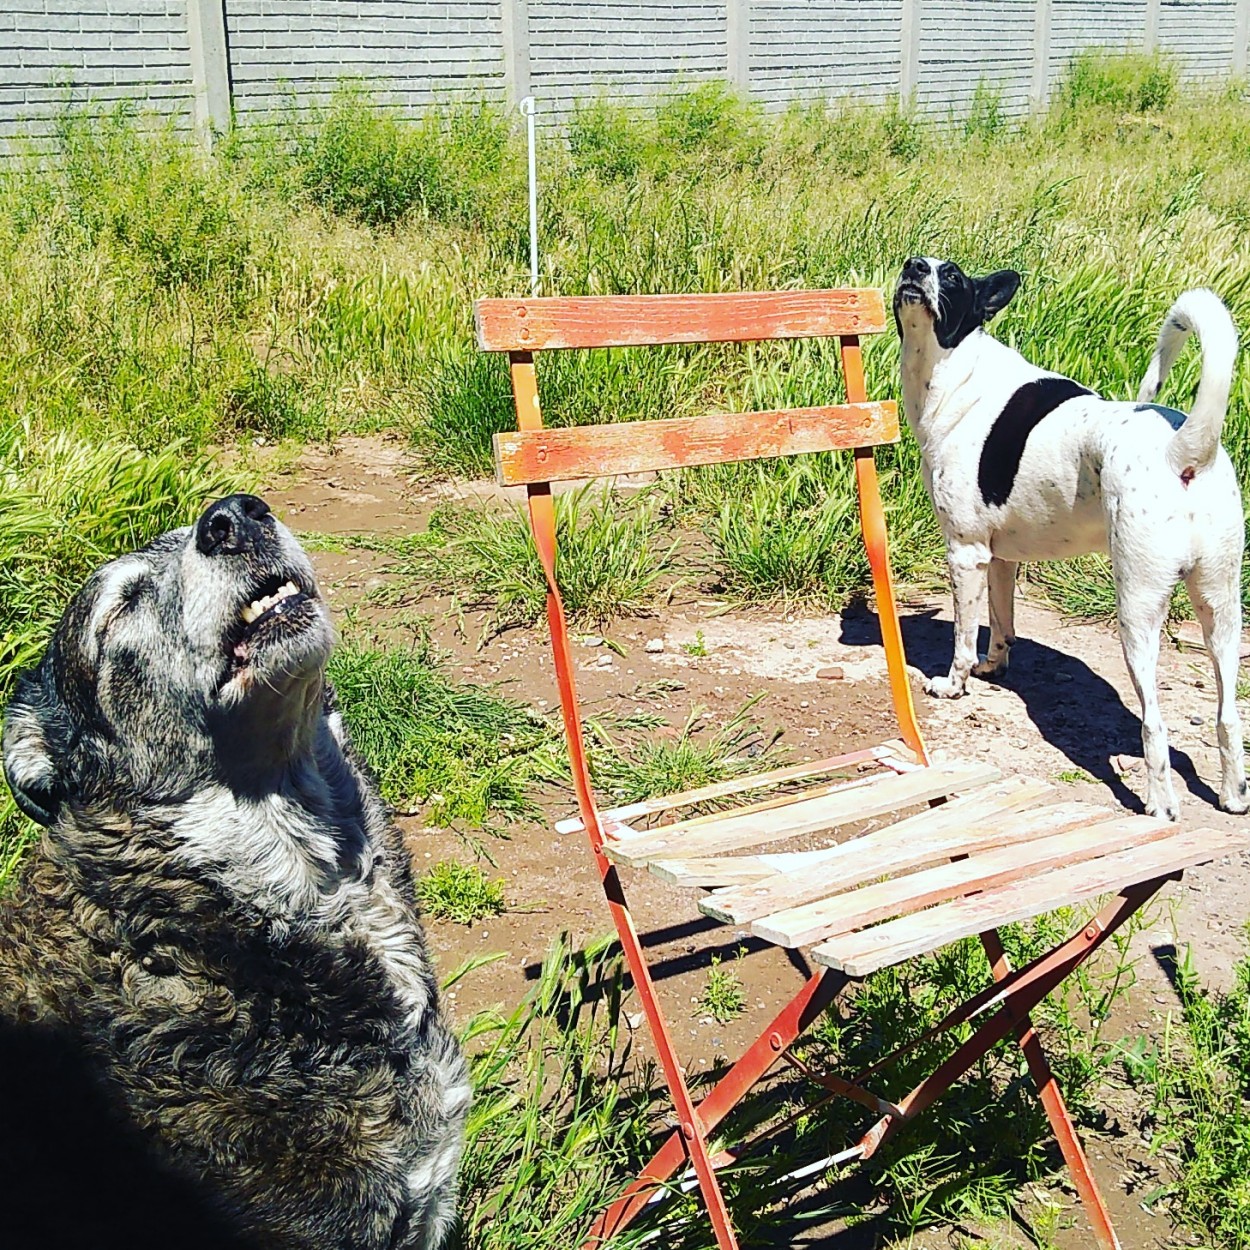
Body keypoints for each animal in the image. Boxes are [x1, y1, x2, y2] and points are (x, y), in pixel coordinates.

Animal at [895, 256, 1245, 820]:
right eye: (918, 264)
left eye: (951, 278)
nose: (915, 266)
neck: (960, 371)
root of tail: (1183, 452)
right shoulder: (1000, 558)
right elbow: (1002, 623)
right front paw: (996, 666)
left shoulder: (966, 554)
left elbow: (964, 639)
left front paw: (954, 684)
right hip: (1221, 606)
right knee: (1229, 713)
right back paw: (1234, 794)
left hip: (1139, 610)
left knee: (1154, 722)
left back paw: (1159, 805)